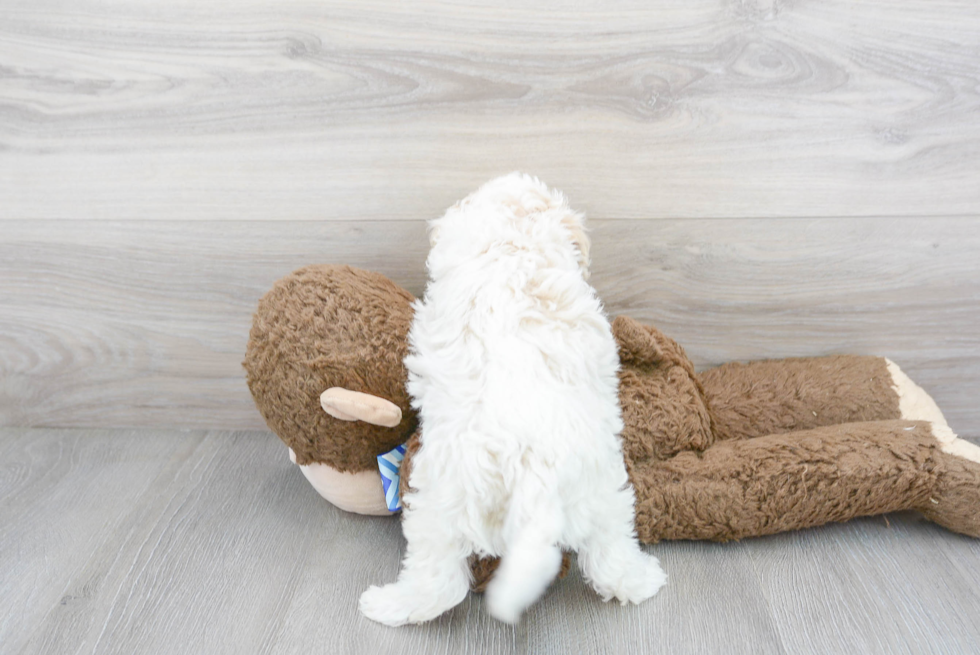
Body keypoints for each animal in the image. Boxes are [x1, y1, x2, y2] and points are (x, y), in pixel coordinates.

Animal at [360, 173, 668, 624]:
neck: (512, 245)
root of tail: (530, 470)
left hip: (438, 499)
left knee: (438, 583)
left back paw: (384, 604)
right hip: (599, 491)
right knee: (610, 555)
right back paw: (643, 581)